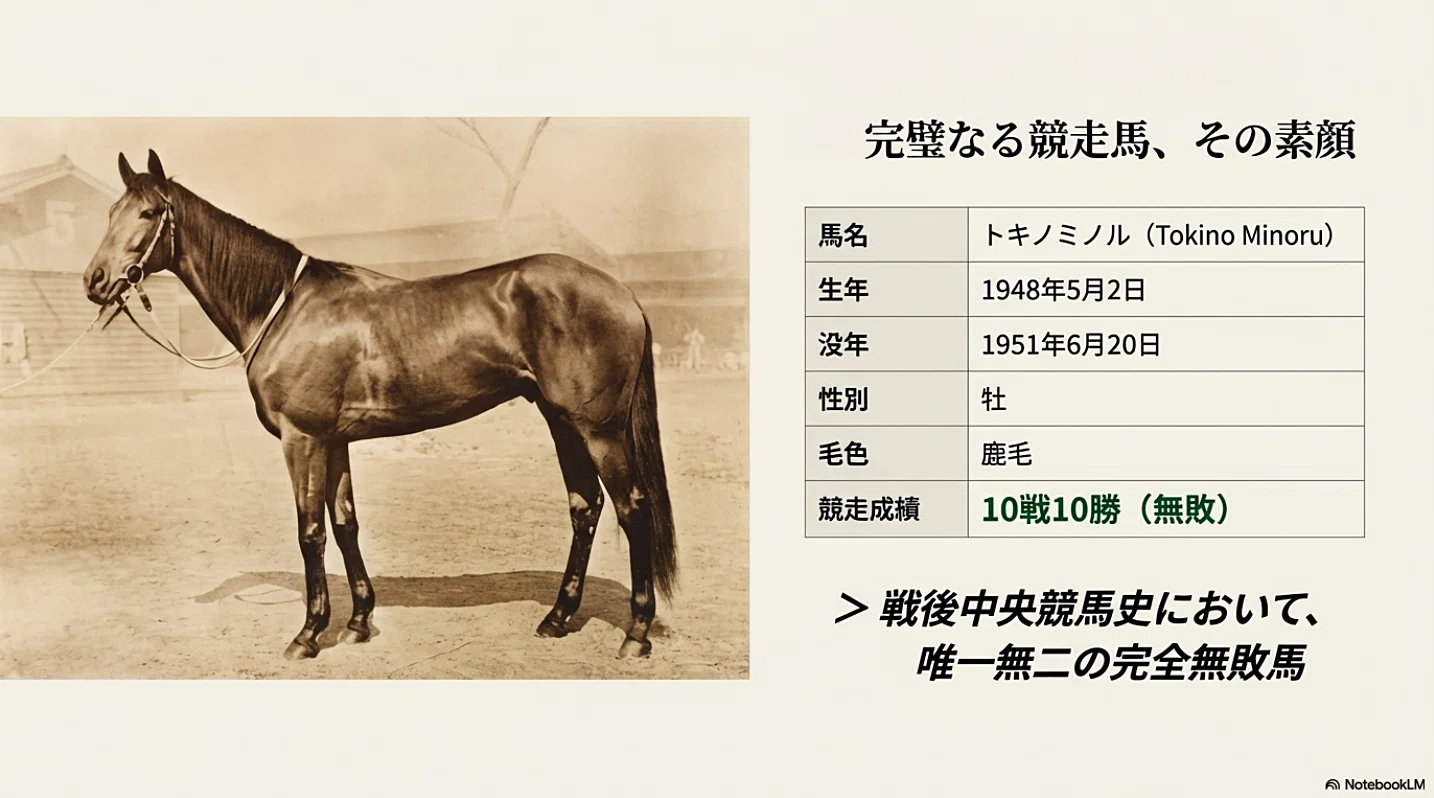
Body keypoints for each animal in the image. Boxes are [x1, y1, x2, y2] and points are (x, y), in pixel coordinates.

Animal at [81, 150, 678, 661]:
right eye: (110, 212)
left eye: (149, 212)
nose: (95, 281)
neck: (286, 308)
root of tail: (622, 292)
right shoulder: (335, 441)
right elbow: (345, 523)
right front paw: (358, 622)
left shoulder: (303, 440)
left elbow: (311, 532)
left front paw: (308, 633)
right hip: (561, 423)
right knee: (585, 508)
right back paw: (556, 618)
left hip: (598, 430)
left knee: (632, 509)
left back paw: (635, 633)